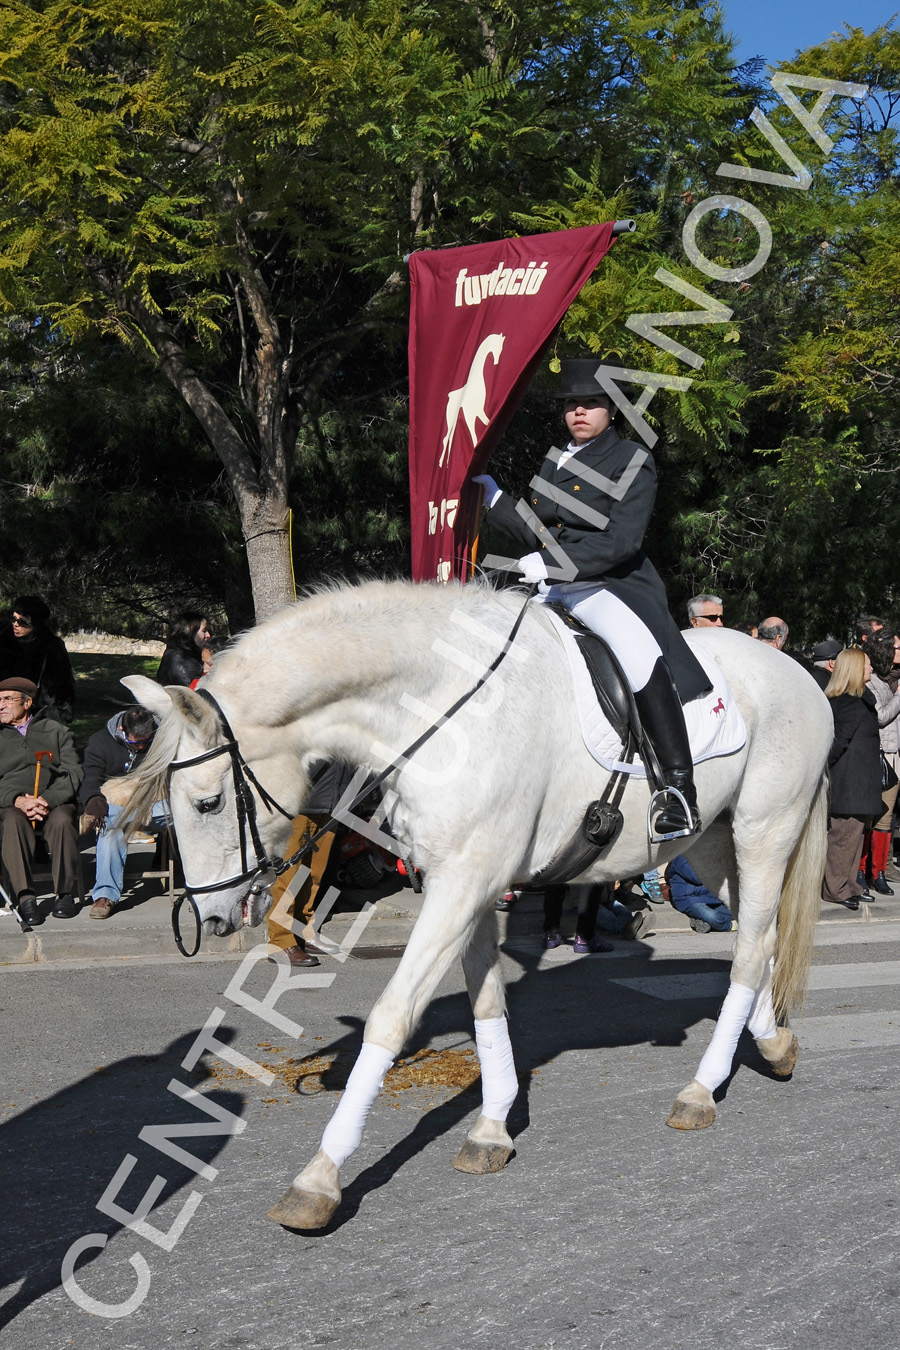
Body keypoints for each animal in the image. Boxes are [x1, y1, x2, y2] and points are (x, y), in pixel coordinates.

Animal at [118, 575, 831, 1231]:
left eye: (208, 802)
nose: (209, 918)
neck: (436, 701)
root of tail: (801, 675)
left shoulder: (461, 883)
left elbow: (391, 1017)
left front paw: (320, 1175)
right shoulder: (470, 884)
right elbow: (488, 1002)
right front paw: (491, 1127)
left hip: (765, 831)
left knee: (749, 950)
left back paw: (702, 1090)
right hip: (713, 844)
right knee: (758, 940)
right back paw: (773, 1044)